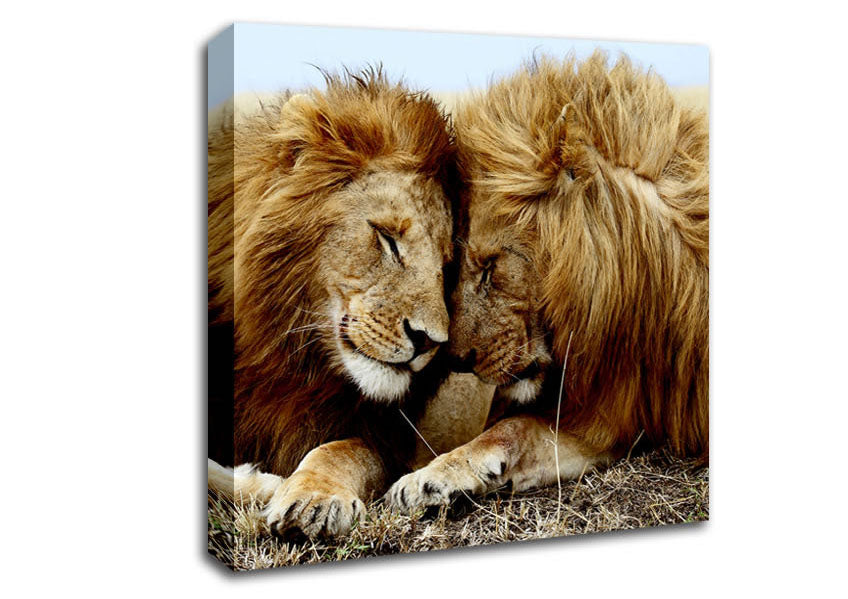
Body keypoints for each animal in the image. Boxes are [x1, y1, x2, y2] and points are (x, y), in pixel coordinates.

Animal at [207, 69, 493, 538]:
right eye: (387, 238)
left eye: (447, 267)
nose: (428, 341)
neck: (290, 358)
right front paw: (262, 484)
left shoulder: (386, 436)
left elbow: (342, 450)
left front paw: (314, 499)